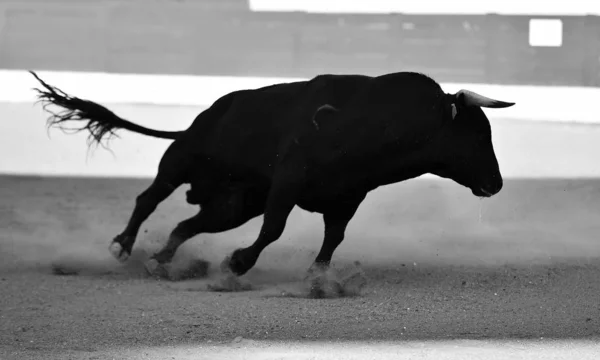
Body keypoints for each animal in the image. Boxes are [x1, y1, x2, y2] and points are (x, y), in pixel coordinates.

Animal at [30, 70, 512, 278]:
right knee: (148, 199)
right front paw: (238, 262)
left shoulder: (347, 198)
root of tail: (203, 116)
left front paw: (319, 277)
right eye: (475, 135)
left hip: (235, 202)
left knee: (190, 223)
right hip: (180, 160)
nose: (496, 184)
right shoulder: (288, 181)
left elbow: (334, 238)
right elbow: (275, 229)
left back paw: (161, 261)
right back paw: (123, 246)